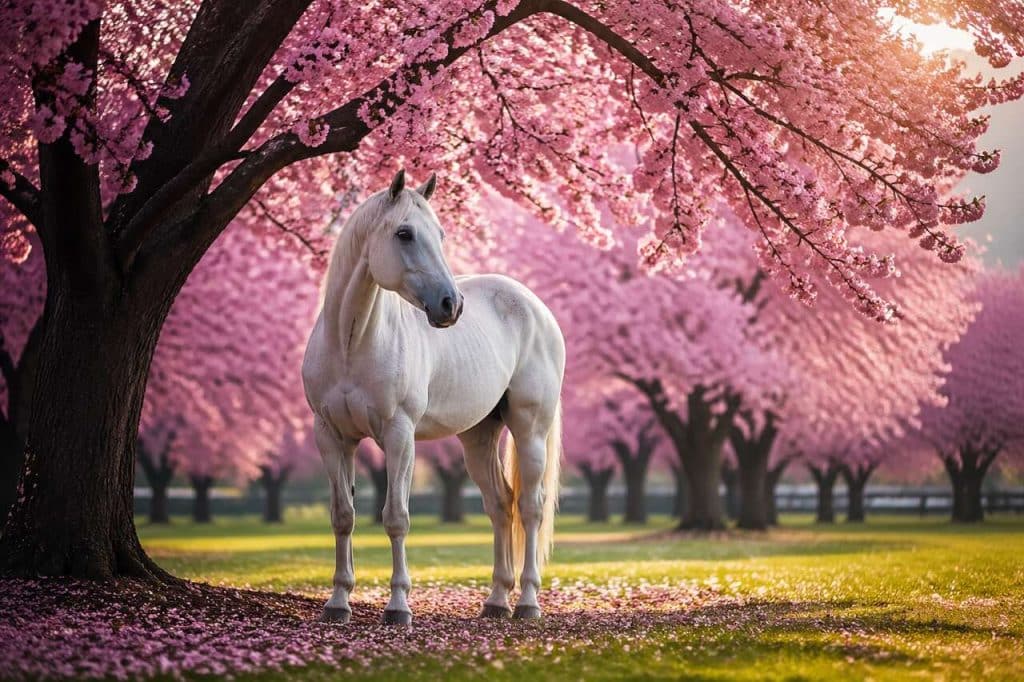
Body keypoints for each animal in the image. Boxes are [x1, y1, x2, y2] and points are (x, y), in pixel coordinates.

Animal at [302, 170, 565, 625]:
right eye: (404, 233)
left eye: (440, 234)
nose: (451, 305)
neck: (351, 344)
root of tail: (536, 307)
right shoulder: (332, 436)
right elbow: (342, 517)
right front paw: (337, 602)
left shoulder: (398, 436)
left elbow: (396, 518)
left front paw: (398, 607)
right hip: (478, 437)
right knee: (500, 505)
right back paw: (497, 600)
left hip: (530, 430)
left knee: (530, 507)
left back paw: (528, 603)